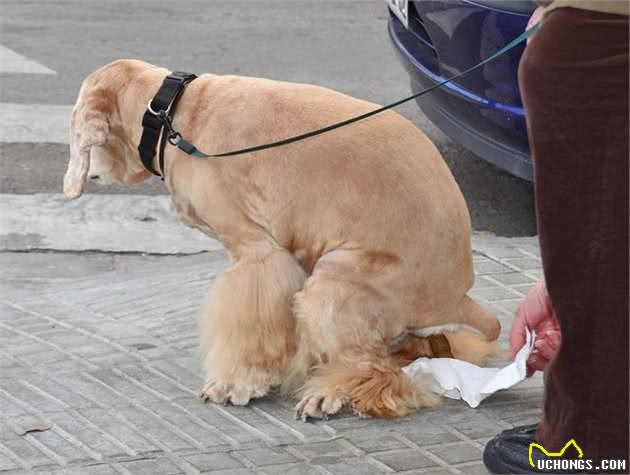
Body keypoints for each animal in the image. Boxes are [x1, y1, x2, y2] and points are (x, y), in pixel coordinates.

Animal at [63, 58, 498, 420]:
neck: (171, 112)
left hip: (335, 284)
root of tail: (458, 298)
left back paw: (330, 392)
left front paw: (237, 383)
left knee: (379, 369)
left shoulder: (256, 252)